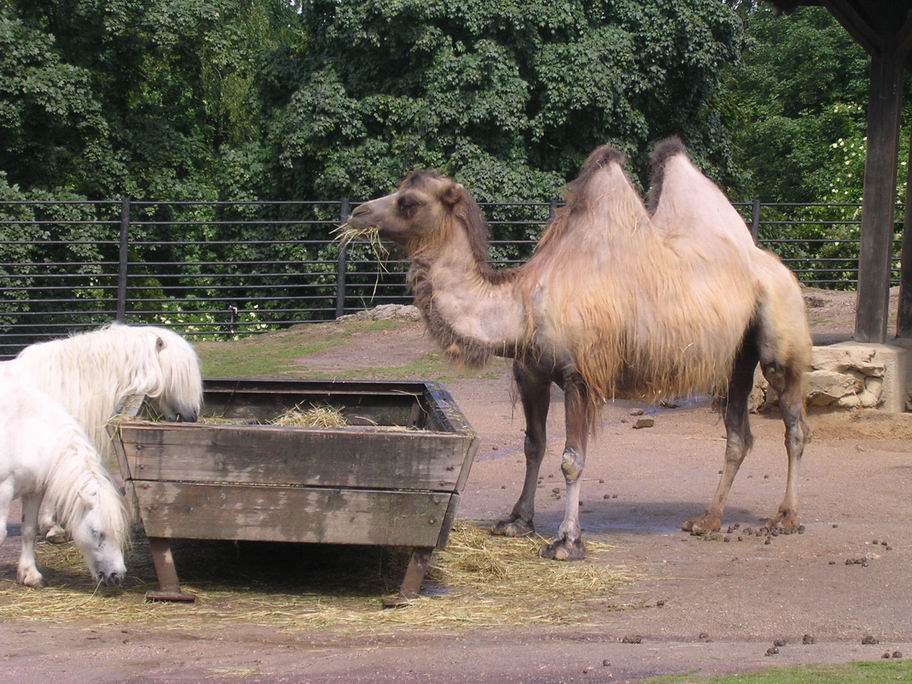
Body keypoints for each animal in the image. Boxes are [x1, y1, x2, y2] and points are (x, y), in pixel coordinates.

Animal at [0, 380, 130, 588]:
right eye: (96, 532)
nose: (116, 575)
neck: (27, 432)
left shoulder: (33, 491)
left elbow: (29, 531)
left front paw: (30, 574)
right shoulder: (3, 492)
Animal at [350, 139, 812, 560]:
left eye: (409, 201)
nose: (357, 213)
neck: (523, 303)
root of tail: (777, 267)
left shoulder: (580, 376)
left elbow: (571, 458)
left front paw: (567, 542)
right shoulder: (531, 373)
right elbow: (533, 445)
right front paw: (516, 521)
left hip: (780, 335)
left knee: (793, 424)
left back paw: (786, 517)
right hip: (735, 357)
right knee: (738, 435)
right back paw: (707, 519)